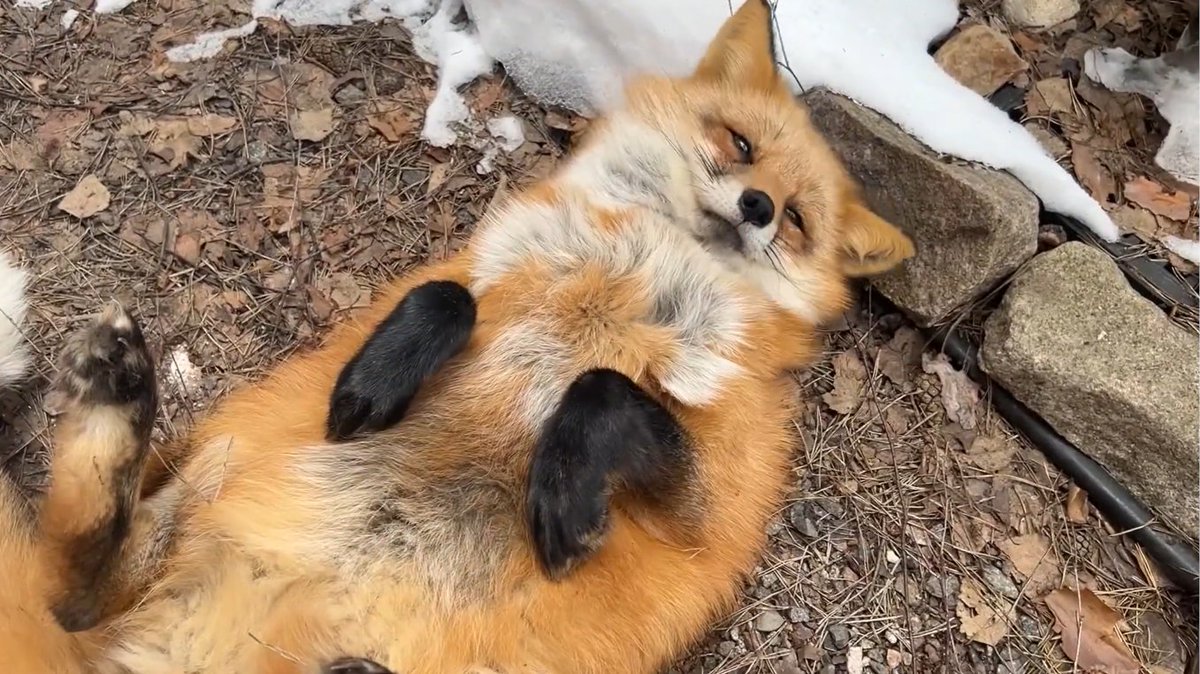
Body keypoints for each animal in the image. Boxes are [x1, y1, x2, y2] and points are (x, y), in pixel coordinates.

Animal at [0, 1, 915, 673]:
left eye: (797, 221)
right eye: (740, 143)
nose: (759, 208)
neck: (628, 283)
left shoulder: (716, 507)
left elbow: (606, 387)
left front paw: (565, 489)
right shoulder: (419, 294)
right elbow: (447, 298)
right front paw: (374, 386)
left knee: (75, 593)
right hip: (207, 468)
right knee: (73, 589)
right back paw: (116, 398)